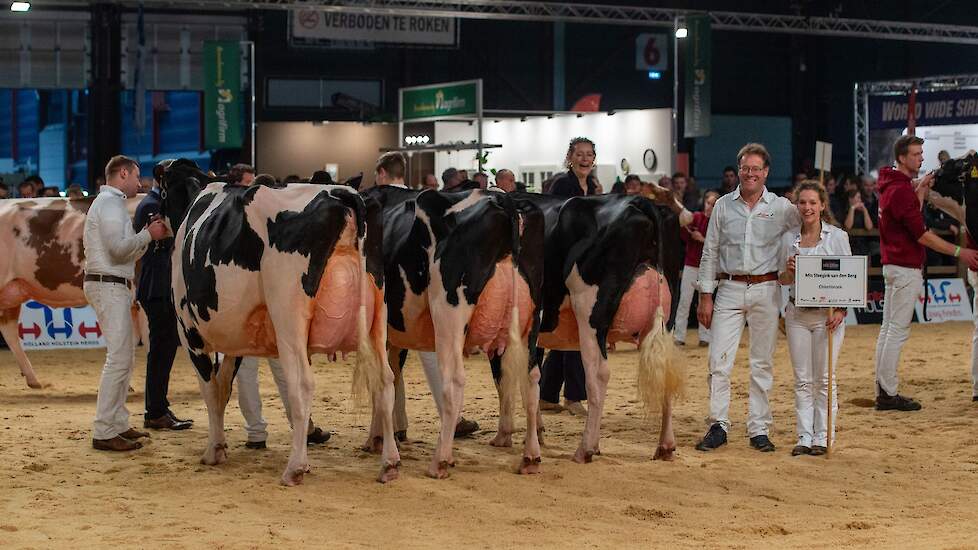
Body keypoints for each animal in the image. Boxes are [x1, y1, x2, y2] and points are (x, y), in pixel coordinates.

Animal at [158, 161, 394, 488]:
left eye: (163, 191)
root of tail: (343, 194)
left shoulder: (188, 330)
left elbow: (210, 390)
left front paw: (213, 450)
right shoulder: (235, 339)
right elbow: (224, 387)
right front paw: (221, 445)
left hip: (288, 316)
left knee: (303, 384)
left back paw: (295, 467)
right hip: (377, 317)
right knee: (385, 380)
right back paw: (390, 463)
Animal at [360, 185, 544, 478]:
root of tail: (501, 198)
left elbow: (383, 381)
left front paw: (385, 452)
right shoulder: (394, 334)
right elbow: (391, 377)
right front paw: (376, 438)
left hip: (448, 312)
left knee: (454, 381)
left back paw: (441, 460)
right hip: (531, 321)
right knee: (532, 380)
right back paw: (530, 457)